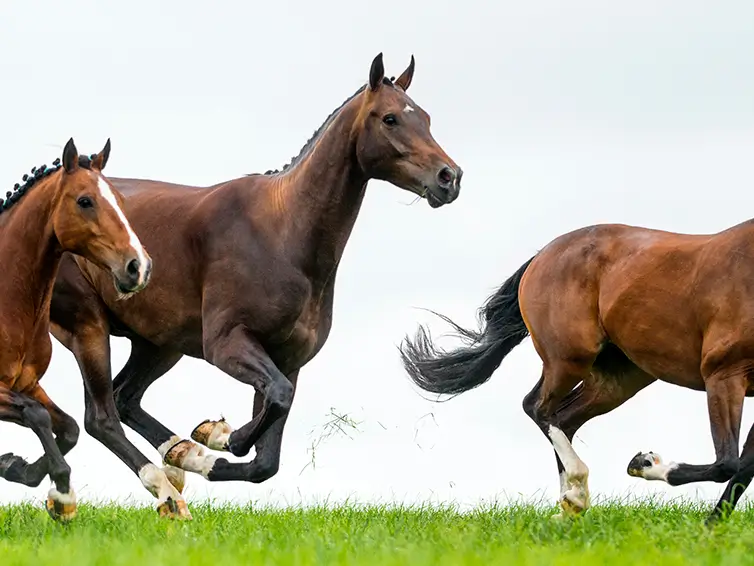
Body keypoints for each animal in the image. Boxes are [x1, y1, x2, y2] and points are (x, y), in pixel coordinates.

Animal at [0, 138, 151, 524]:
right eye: (85, 201)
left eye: (120, 199)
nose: (138, 267)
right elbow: (38, 416)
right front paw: (63, 495)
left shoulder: (27, 385)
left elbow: (68, 428)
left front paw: (19, 469)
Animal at [47, 53, 462, 520]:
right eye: (390, 118)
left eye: (425, 117)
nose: (449, 177)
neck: (282, 233)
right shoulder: (228, 345)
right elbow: (271, 409)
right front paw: (223, 436)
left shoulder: (288, 359)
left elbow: (267, 458)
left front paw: (208, 443)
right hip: (89, 328)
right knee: (101, 417)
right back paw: (163, 489)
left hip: (158, 344)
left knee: (124, 398)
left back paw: (179, 457)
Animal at [400, 220, 754, 524]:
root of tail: (544, 253)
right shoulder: (723, 374)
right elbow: (727, 463)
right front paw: (645, 463)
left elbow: (743, 466)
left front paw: (711, 528)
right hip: (569, 359)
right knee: (538, 407)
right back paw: (577, 492)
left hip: (618, 378)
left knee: (564, 418)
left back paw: (569, 505)